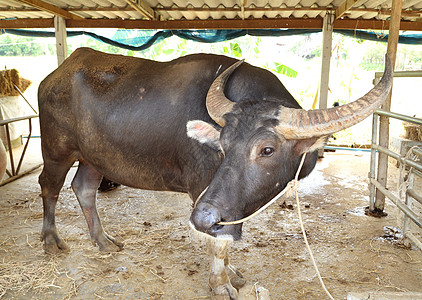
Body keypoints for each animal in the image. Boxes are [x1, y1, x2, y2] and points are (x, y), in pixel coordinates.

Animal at [37, 48, 392, 298]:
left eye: (267, 149)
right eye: (222, 145)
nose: (200, 216)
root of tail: (54, 76)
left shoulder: (227, 202)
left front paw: (232, 272)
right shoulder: (203, 190)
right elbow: (218, 240)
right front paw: (221, 284)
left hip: (93, 156)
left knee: (84, 188)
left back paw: (103, 241)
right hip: (56, 151)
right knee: (49, 186)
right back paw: (52, 241)